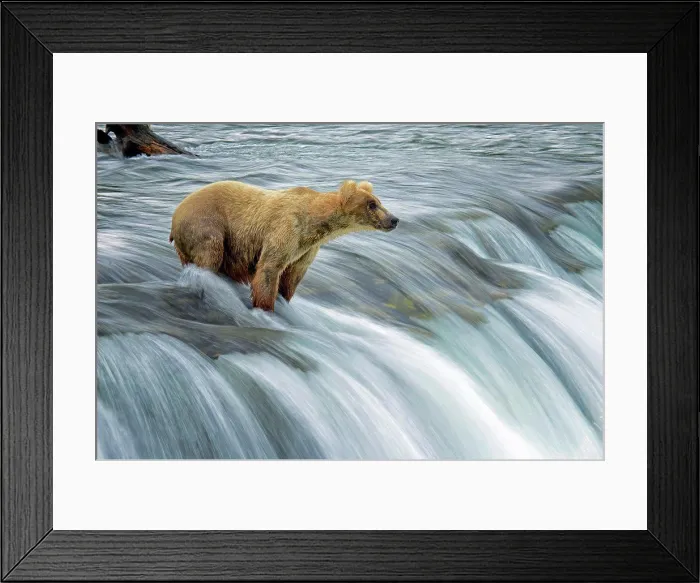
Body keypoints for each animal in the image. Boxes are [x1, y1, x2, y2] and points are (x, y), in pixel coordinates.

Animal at [169, 180, 399, 311]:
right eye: (372, 204)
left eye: (379, 201)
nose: (394, 219)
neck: (315, 223)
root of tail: (175, 213)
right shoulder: (285, 230)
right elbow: (269, 269)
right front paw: (265, 308)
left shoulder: (306, 248)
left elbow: (293, 275)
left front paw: (284, 300)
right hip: (206, 226)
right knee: (210, 255)